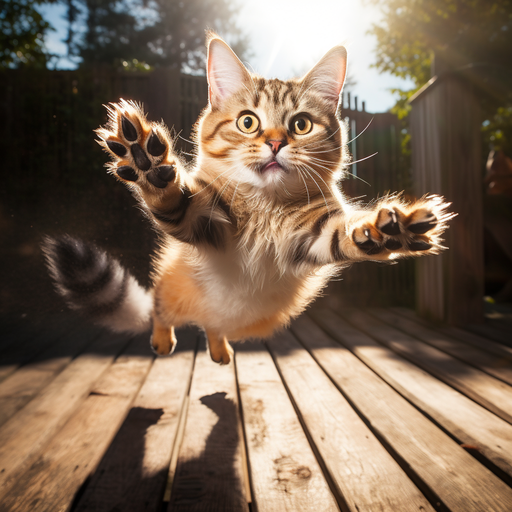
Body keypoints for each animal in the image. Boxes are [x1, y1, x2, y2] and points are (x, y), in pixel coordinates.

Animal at [43, 34, 452, 364]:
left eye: (301, 124)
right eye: (248, 122)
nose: (275, 143)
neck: (264, 207)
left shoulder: (312, 235)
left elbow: (348, 232)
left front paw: (391, 230)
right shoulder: (200, 222)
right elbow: (171, 197)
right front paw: (147, 160)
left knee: (212, 326)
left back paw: (220, 349)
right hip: (173, 292)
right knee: (159, 309)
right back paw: (163, 340)